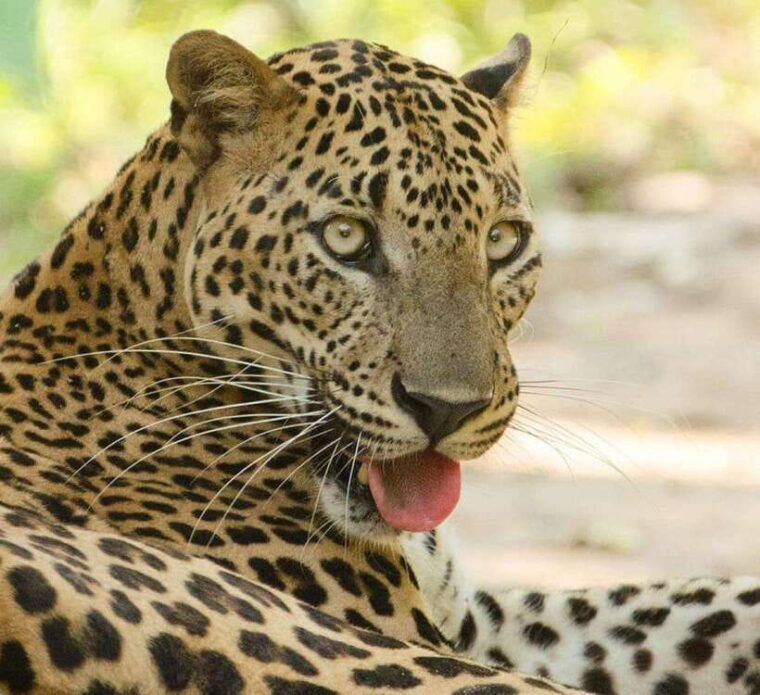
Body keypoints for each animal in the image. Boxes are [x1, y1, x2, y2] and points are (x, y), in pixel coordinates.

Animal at [0, 28, 758, 695]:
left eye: (503, 241)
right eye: (346, 237)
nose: (447, 409)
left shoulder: (480, 620)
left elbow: (695, 605)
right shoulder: (422, 641)